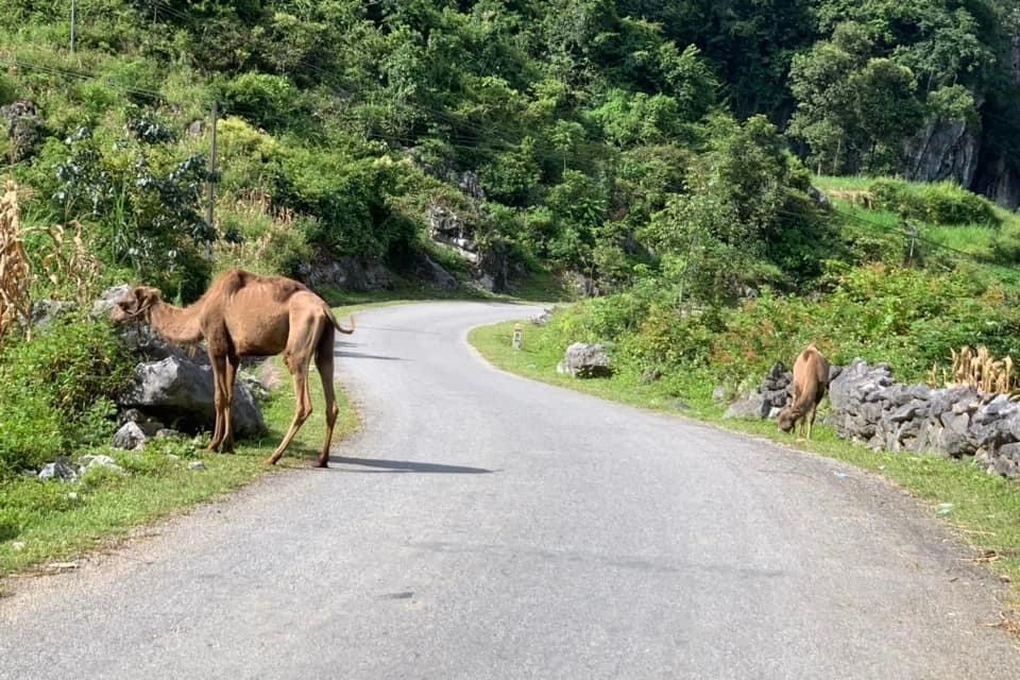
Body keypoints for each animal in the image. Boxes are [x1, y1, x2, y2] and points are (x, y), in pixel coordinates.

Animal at [112, 269, 357, 464]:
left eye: (123, 303)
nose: (112, 318)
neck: (199, 315)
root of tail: (325, 309)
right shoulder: (234, 353)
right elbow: (230, 395)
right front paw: (227, 445)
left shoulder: (216, 345)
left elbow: (219, 396)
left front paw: (213, 445)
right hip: (325, 345)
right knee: (330, 395)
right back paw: (322, 459)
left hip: (298, 345)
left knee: (303, 403)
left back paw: (274, 457)